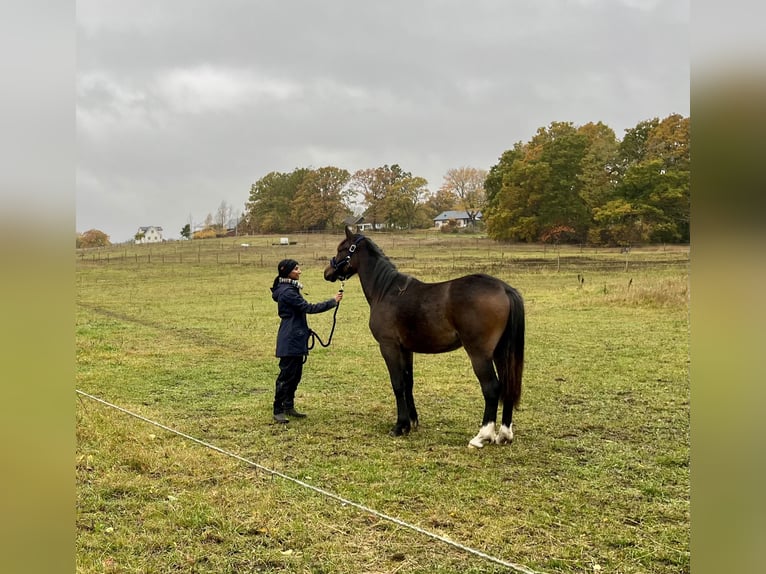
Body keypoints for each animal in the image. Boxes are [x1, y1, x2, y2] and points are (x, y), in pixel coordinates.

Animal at [324, 228, 528, 450]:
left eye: (342, 249)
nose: (327, 272)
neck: (386, 292)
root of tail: (504, 289)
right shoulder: (406, 349)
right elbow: (408, 382)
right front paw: (411, 422)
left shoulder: (389, 346)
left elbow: (397, 383)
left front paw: (399, 426)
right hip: (501, 352)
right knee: (507, 385)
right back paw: (504, 435)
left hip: (479, 354)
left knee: (491, 388)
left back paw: (482, 436)